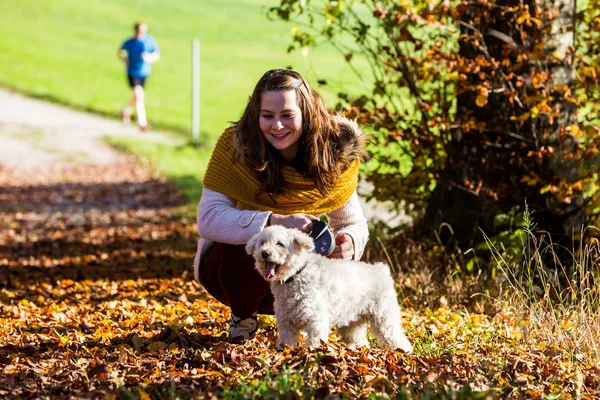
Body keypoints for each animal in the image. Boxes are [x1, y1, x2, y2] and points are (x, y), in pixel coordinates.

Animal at [246, 225, 414, 354]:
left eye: (280, 244)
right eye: (262, 242)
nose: (265, 253)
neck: (296, 275)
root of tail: (381, 269)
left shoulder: (315, 321)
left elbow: (314, 342)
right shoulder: (286, 323)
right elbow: (287, 342)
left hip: (384, 317)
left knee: (396, 337)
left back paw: (404, 352)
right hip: (351, 324)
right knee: (361, 340)